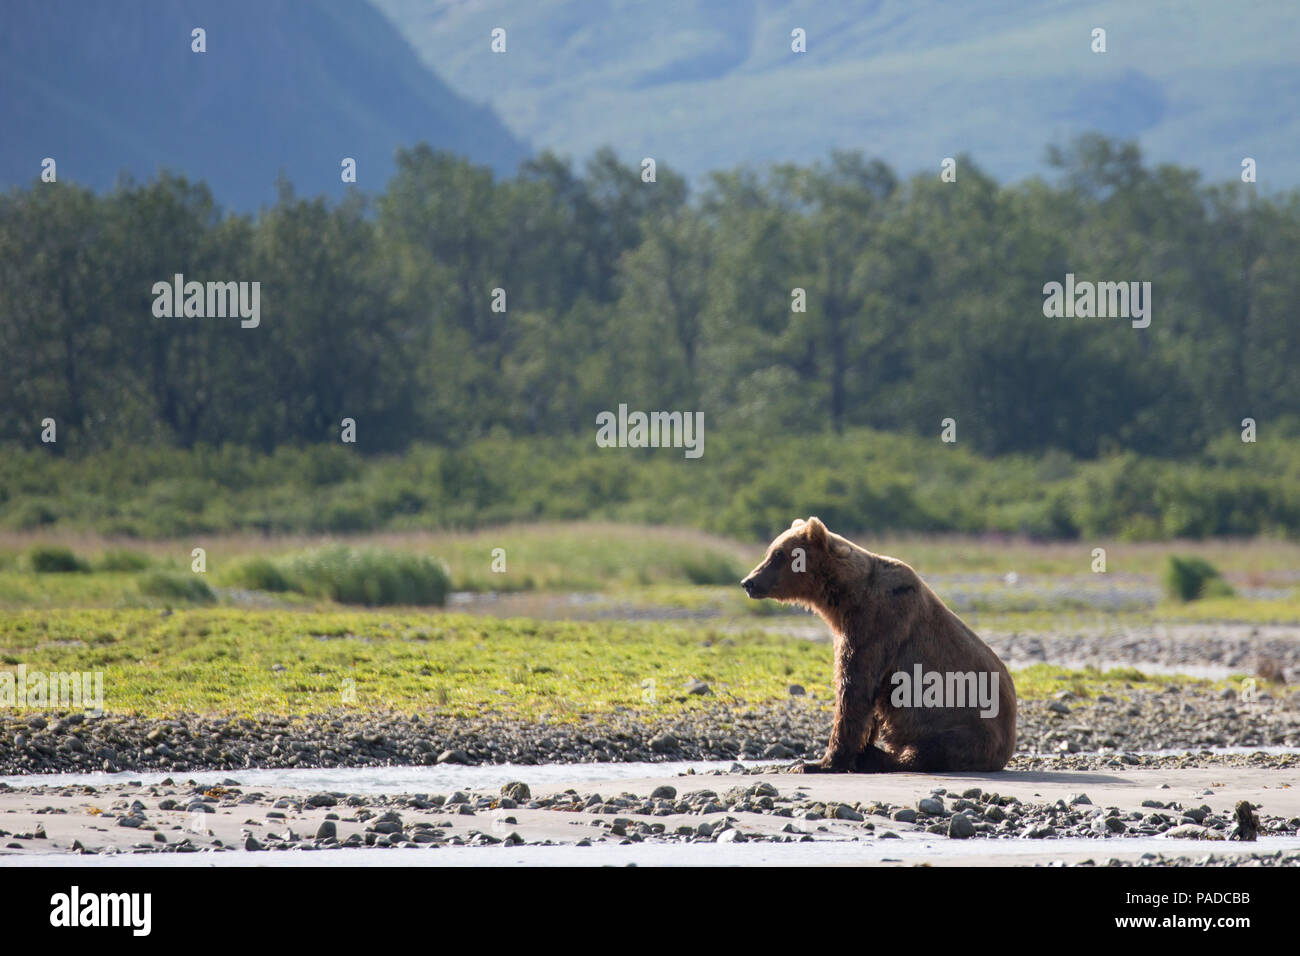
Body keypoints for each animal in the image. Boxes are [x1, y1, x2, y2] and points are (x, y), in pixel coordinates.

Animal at [743, 520, 1013, 775]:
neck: (846, 596)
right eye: (770, 551)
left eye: (778, 554)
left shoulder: (878, 623)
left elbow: (855, 689)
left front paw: (816, 763)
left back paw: (875, 757)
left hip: (966, 726)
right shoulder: (849, 629)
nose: (748, 582)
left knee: (931, 749)